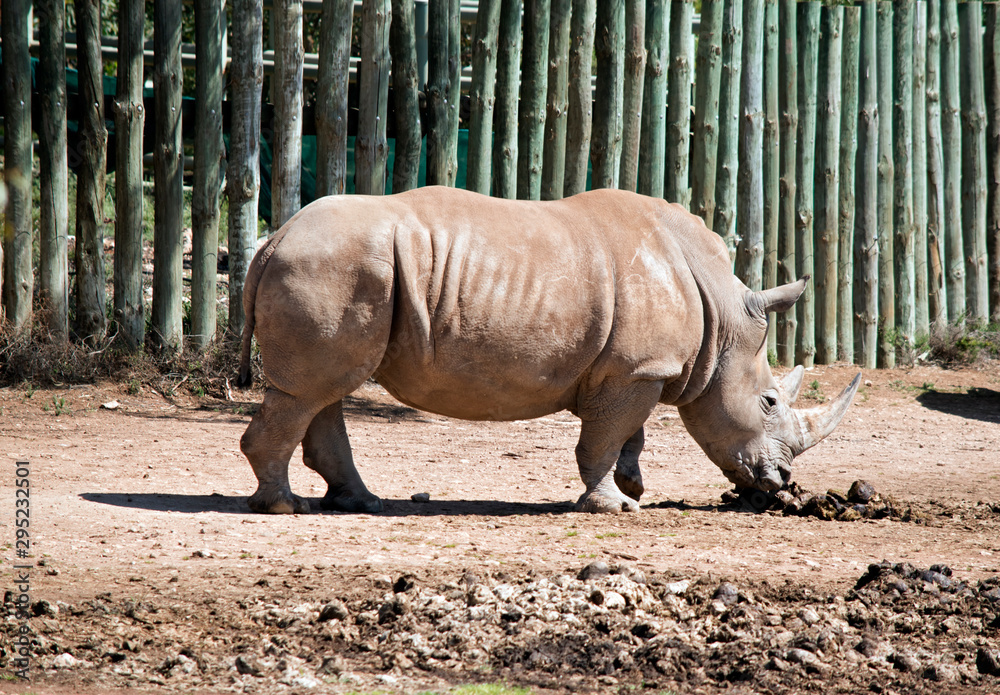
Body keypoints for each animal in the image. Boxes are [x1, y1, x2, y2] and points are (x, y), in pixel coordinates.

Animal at [236, 187, 860, 515]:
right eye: (770, 402)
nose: (783, 482)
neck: (723, 320)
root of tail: (272, 239)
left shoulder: (635, 368)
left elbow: (628, 434)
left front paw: (633, 486)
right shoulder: (637, 371)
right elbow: (605, 438)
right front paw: (616, 506)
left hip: (339, 269)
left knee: (325, 388)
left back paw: (360, 502)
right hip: (330, 266)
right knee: (310, 390)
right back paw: (285, 507)